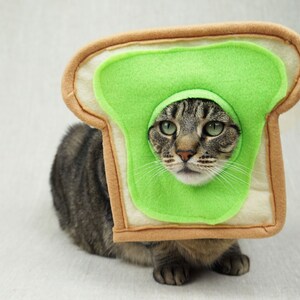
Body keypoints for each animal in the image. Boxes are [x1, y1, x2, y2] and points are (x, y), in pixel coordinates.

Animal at [50, 99, 250, 286]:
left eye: (214, 127)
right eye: (167, 127)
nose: (185, 153)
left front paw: (232, 253)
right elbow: (158, 238)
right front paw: (171, 265)